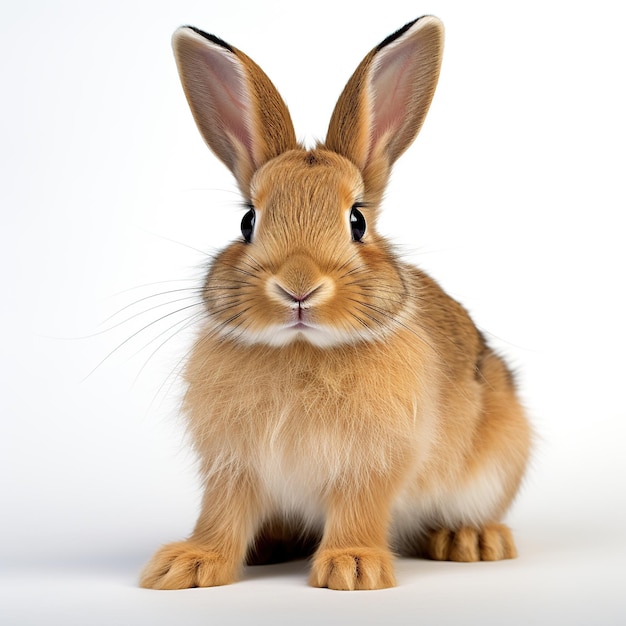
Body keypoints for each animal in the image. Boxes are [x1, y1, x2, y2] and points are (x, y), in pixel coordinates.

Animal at [140, 15, 532, 588]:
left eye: (357, 221)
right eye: (247, 221)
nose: (298, 285)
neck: (301, 349)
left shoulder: (371, 462)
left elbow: (357, 509)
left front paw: (352, 568)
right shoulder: (233, 465)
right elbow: (221, 514)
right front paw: (186, 565)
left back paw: (471, 539)